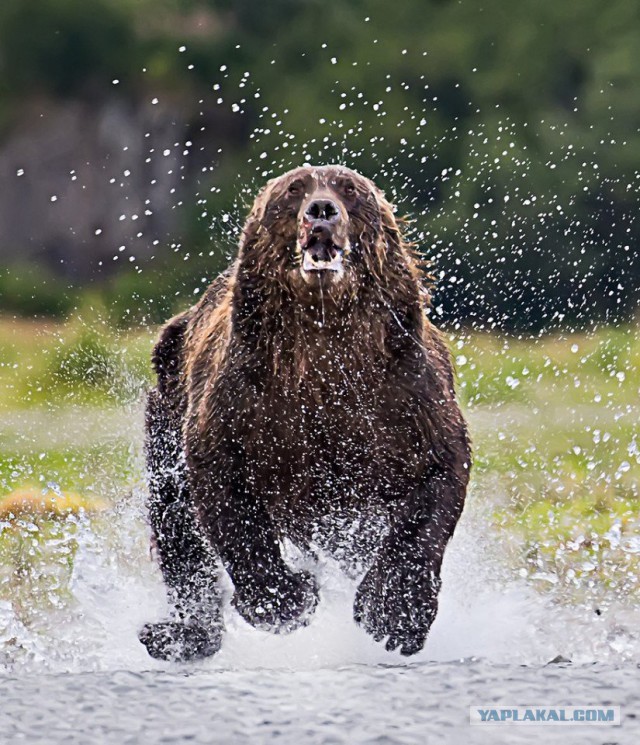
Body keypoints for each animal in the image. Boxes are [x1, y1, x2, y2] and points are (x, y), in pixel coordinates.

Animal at [140, 164, 470, 664]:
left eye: (350, 189)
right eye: (294, 189)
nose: (321, 210)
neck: (323, 342)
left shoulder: (405, 395)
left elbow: (437, 479)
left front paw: (393, 616)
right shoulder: (244, 401)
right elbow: (224, 496)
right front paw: (289, 599)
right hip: (168, 408)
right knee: (175, 520)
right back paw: (176, 634)